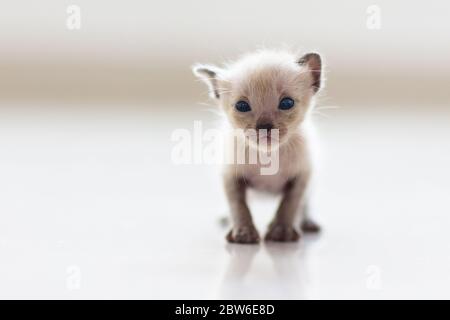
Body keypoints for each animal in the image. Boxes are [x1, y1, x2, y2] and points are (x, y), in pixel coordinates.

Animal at [193, 49, 324, 242]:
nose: (264, 127)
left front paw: (281, 231)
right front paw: (243, 233)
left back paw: (307, 222)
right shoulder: (231, 176)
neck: (267, 156)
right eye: (242, 106)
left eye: (287, 103)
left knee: (305, 204)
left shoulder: (301, 176)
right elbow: (238, 206)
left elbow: (290, 204)